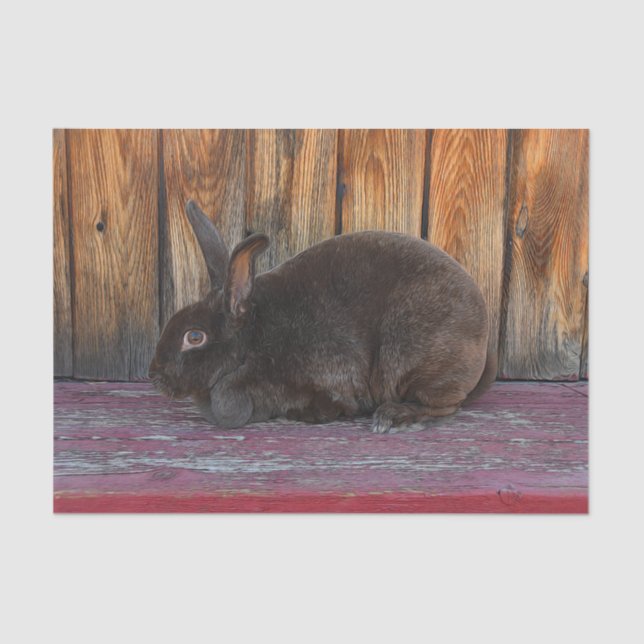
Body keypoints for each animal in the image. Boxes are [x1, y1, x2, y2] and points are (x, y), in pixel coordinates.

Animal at [148, 200, 497, 433]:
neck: (250, 344)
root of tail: (484, 343)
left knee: (445, 405)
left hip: (412, 361)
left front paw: (301, 415)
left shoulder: (332, 374)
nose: (154, 375)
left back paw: (393, 417)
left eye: (194, 337)